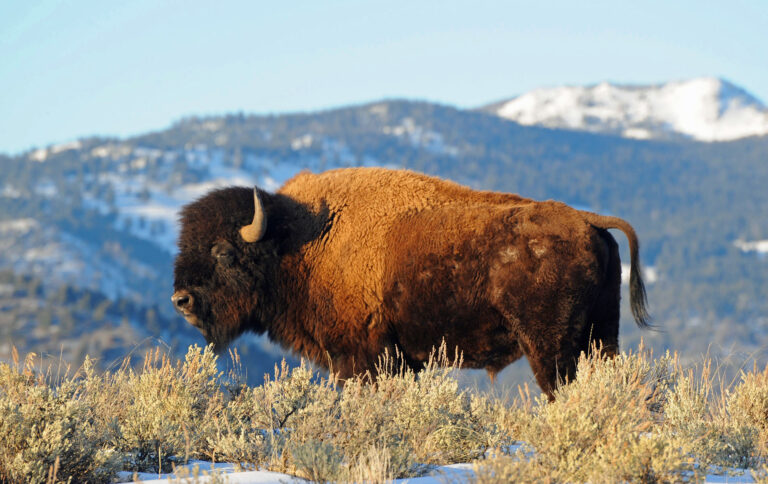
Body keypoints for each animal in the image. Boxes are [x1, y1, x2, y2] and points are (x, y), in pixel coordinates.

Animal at [172, 167, 648, 398]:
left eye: (222, 252)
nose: (181, 300)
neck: (298, 241)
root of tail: (587, 220)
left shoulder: (361, 360)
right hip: (601, 335)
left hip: (550, 346)